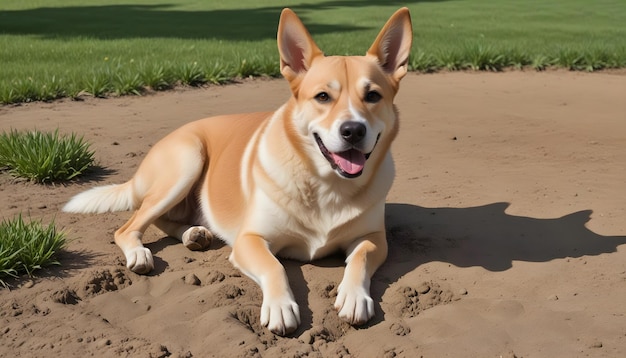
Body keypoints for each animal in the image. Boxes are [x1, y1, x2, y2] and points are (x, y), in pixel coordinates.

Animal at [66, 6, 412, 336]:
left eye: (373, 95)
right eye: (323, 96)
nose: (353, 130)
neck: (325, 184)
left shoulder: (373, 237)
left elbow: (361, 256)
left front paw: (354, 297)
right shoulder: (250, 239)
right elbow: (275, 266)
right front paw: (280, 307)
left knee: (167, 221)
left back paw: (194, 234)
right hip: (187, 161)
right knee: (130, 226)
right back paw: (140, 253)